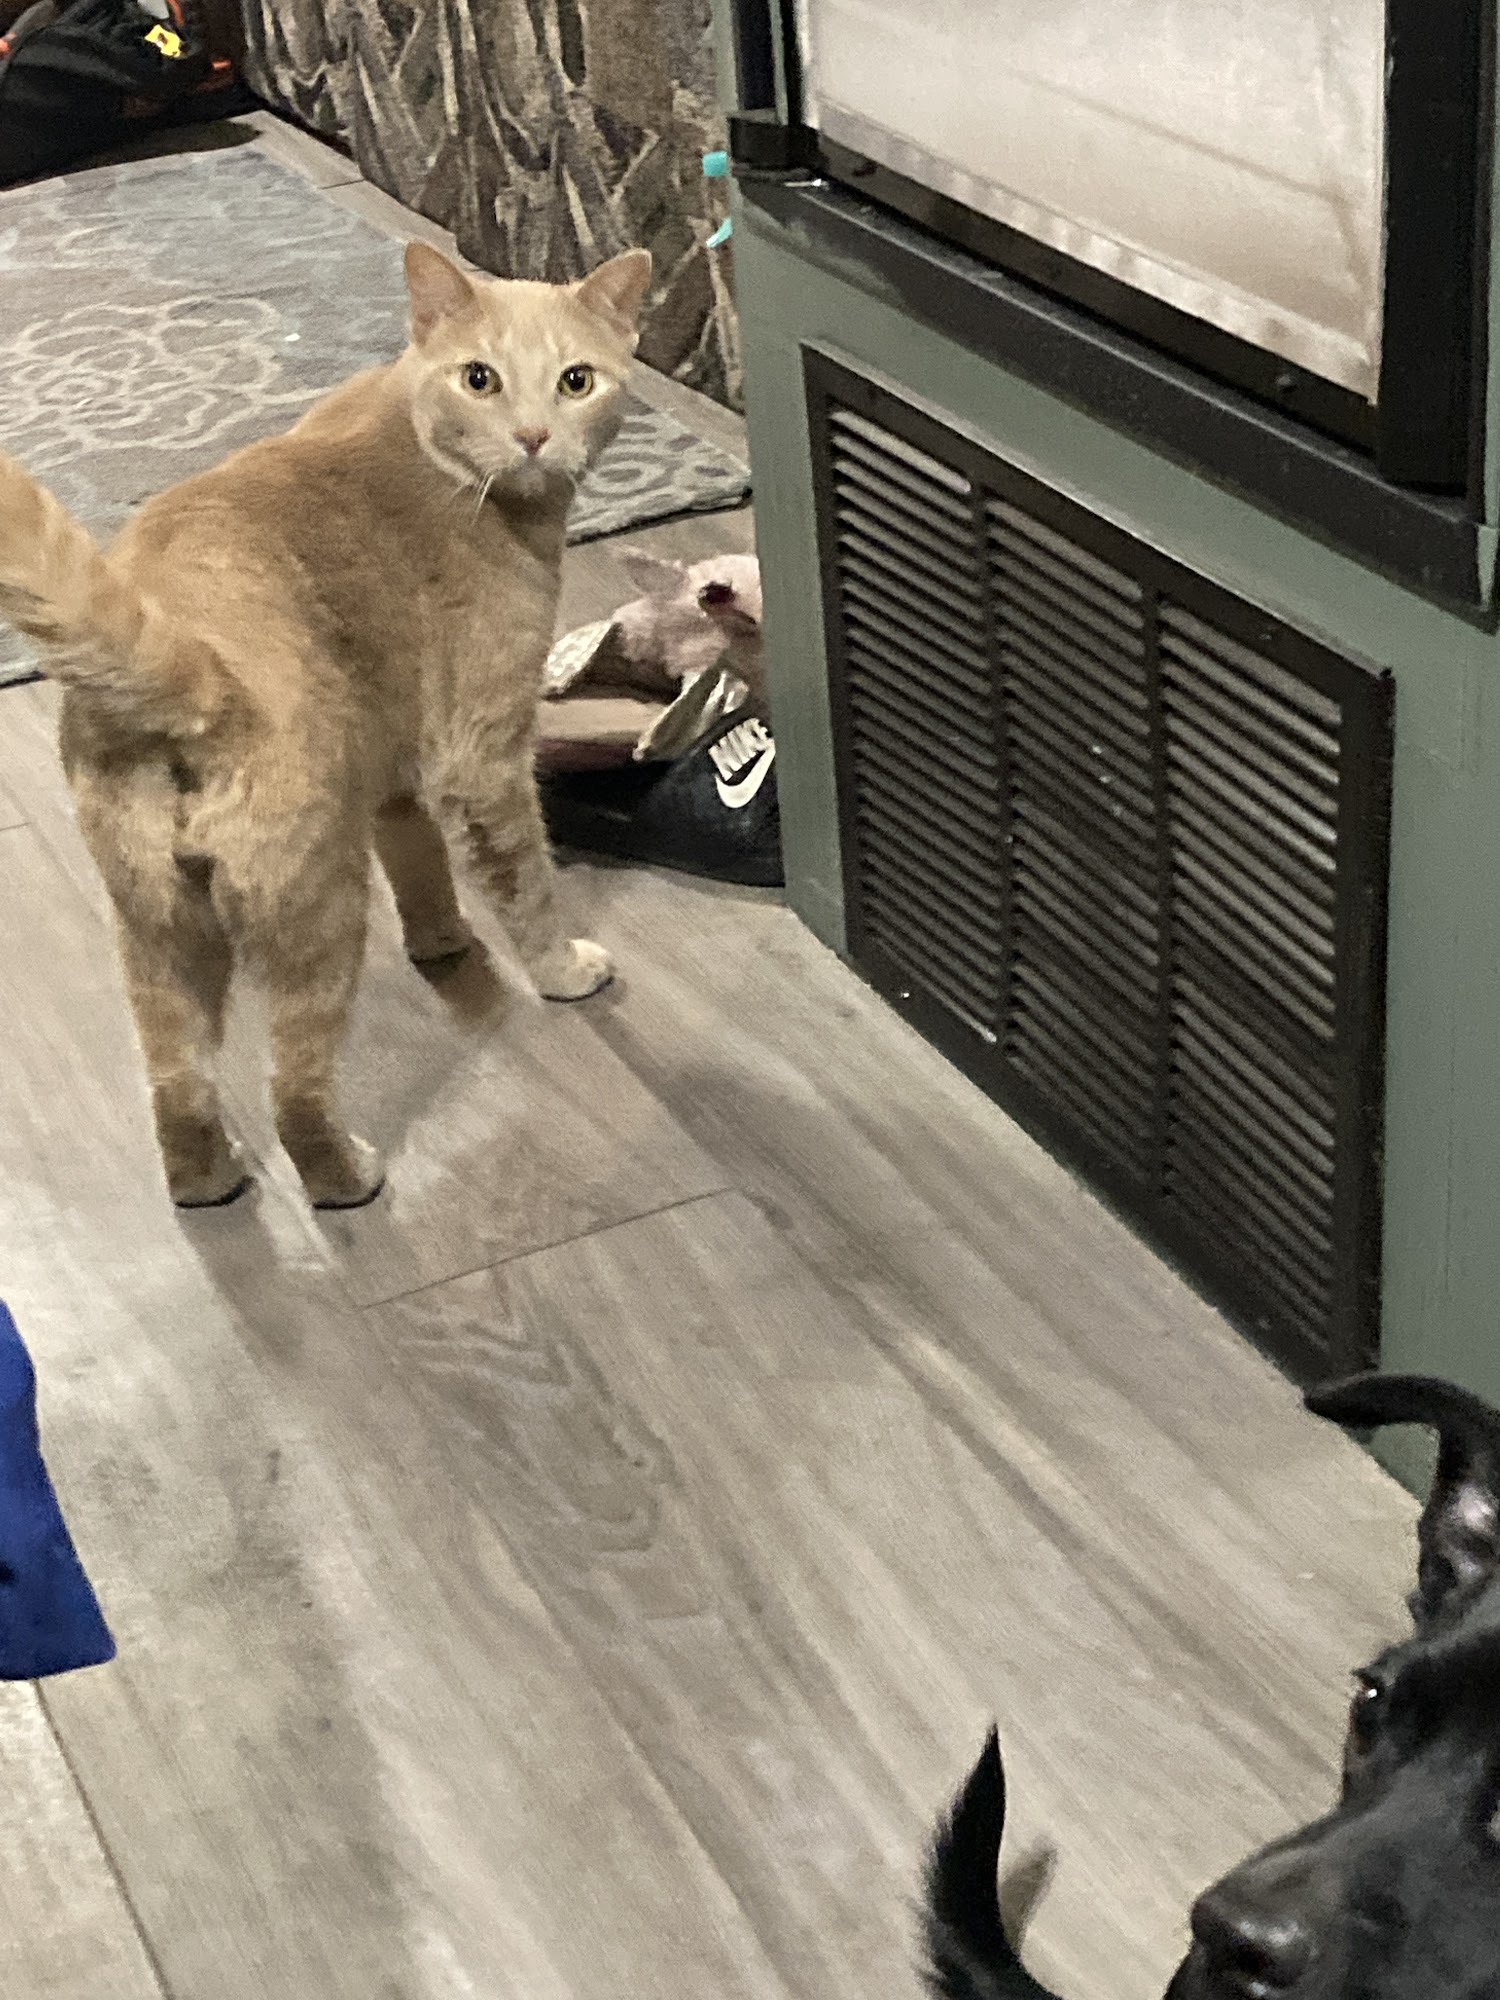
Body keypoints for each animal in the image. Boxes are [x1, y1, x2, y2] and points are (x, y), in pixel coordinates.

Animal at [0, 240, 653, 1211]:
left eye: (576, 380)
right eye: (482, 379)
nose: (535, 435)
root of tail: (198, 671)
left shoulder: (390, 763)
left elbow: (420, 861)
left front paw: (444, 942)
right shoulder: (483, 754)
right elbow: (522, 881)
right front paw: (561, 971)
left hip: (157, 923)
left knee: (177, 1085)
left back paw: (209, 1181)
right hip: (318, 908)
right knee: (294, 1093)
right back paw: (347, 1178)